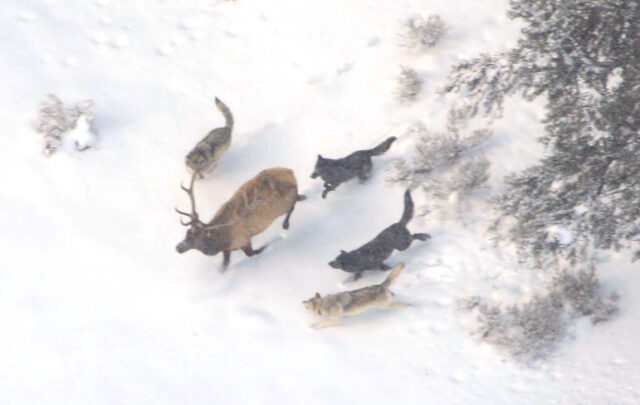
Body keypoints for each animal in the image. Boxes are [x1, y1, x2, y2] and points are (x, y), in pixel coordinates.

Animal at [175, 167, 306, 269]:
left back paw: (286, 225)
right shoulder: (227, 249)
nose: (178, 247)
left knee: (292, 205)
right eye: (187, 233)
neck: (221, 240)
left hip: (284, 203)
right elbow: (225, 264)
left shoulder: (244, 240)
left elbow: (253, 253)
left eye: (196, 238)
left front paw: (274, 241)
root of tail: (290, 171)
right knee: (298, 198)